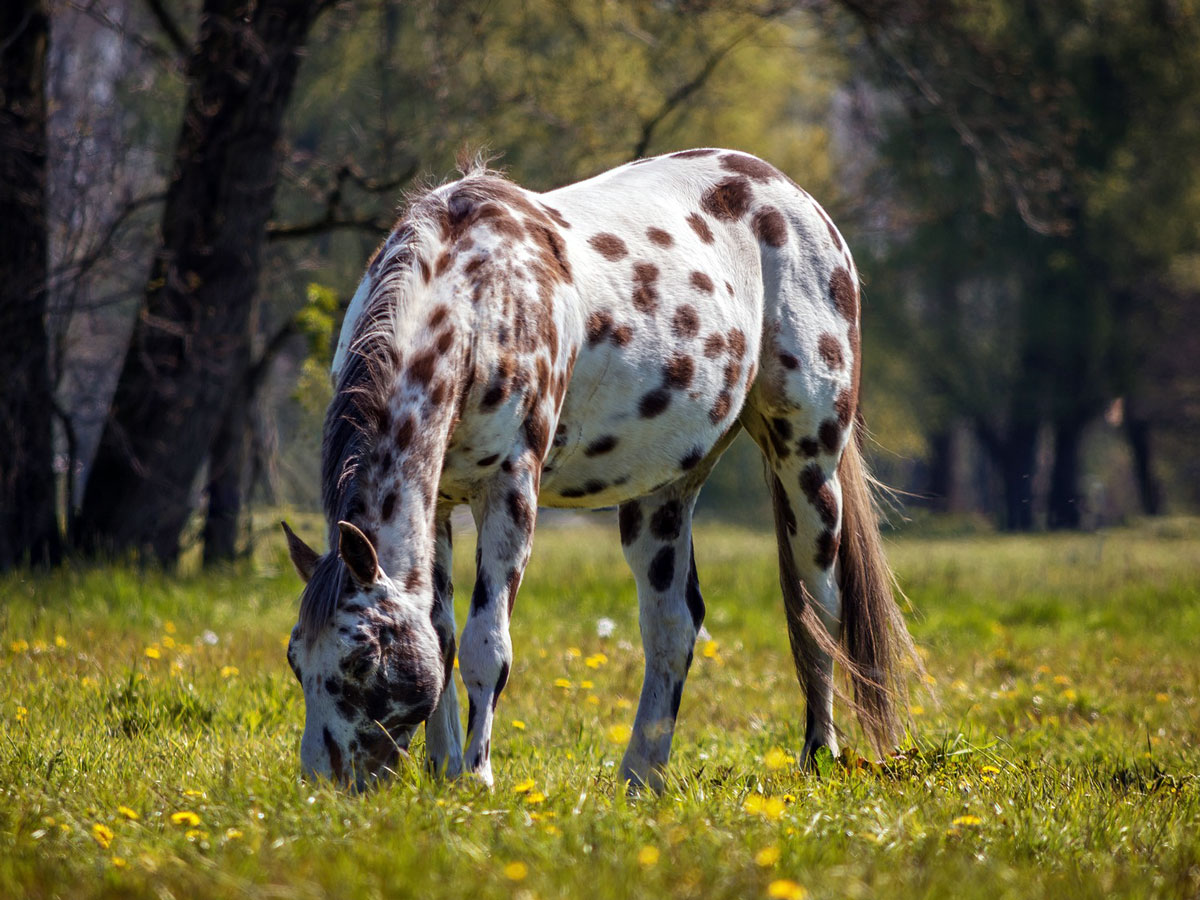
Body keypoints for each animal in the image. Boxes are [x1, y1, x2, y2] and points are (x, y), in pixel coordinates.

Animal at [281, 148, 919, 792]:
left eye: (362, 658)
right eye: (295, 658)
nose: (322, 785)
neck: (478, 299)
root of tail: (796, 198)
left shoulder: (510, 489)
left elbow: (487, 646)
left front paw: (476, 780)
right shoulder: (437, 504)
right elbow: (441, 636)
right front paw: (444, 773)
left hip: (808, 466)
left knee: (818, 613)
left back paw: (819, 757)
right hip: (663, 493)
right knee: (672, 628)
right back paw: (641, 778)